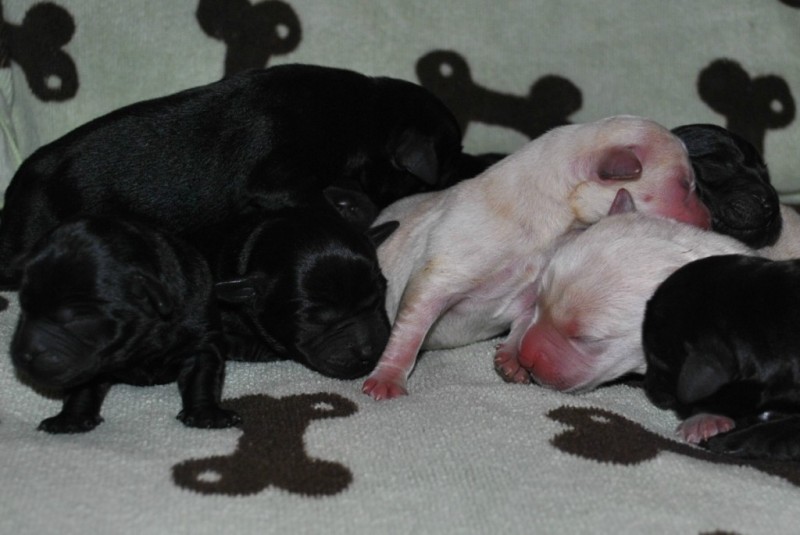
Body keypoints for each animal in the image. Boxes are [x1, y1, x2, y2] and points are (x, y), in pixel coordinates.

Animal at [10, 216, 241, 433]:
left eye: (76, 319)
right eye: (24, 308)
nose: (23, 356)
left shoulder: (201, 332)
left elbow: (202, 373)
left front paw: (206, 413)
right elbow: (82, 384)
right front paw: (71, 418)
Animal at [363, 115, 712, 400]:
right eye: (685, 185)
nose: (711, 221)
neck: (552, 224)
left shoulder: (535, 288)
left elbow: (526, 321)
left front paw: (512, 357)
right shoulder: (437, 279)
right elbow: (409, 332)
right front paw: (388, 378)